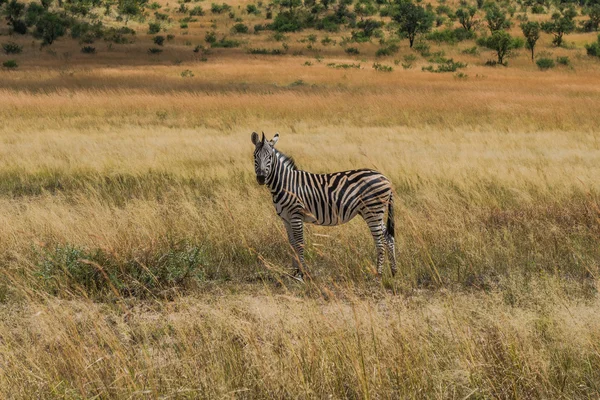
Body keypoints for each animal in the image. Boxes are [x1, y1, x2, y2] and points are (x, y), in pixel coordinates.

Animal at [251, 131, 396, 278]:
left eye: (269, 157)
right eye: (255, 156)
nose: (261, 178)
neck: (286, 184)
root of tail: (385, 178)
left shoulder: (296, 215)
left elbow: (299, 243)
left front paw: (303, 273)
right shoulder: (286, 218)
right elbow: (292, 243)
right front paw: (295, 272)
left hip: (372, 211)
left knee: (380, 243)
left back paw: (378, 275)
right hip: (374, 213)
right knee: (388, 237)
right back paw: (393, 271)